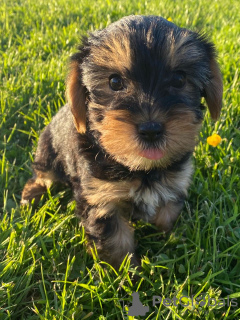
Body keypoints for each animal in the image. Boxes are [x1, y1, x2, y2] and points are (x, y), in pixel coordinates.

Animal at [21, 15, 222, 268]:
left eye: (179, 79)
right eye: (115, 82)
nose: (151, 130)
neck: (141, 168)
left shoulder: (175, 181)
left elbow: (168, 212)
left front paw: (173, 238)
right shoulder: (101, 198)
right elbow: (115, 240)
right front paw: (126, 272)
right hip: (48, 150)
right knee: (42, 174)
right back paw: (31, 195)